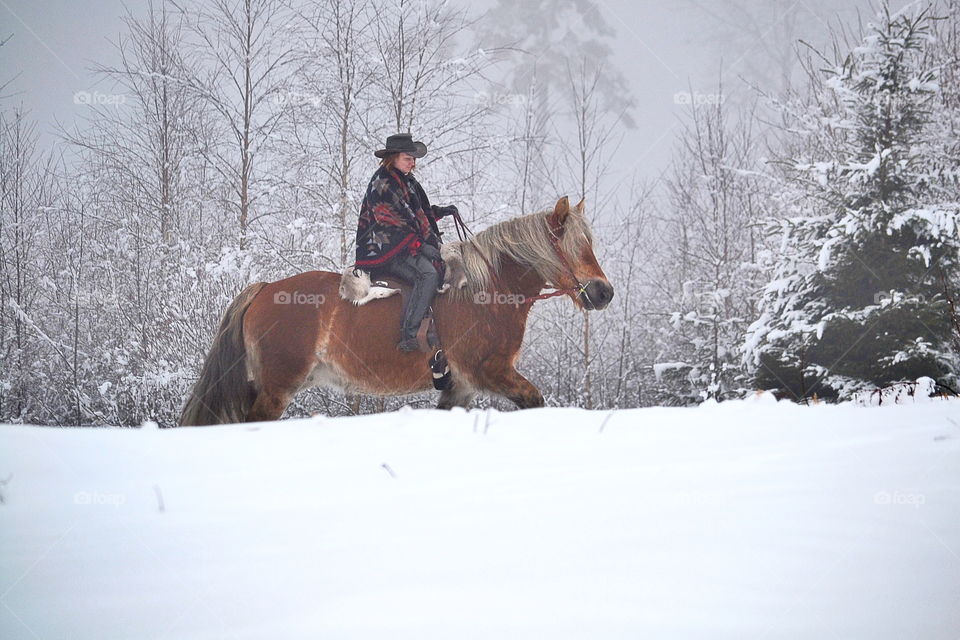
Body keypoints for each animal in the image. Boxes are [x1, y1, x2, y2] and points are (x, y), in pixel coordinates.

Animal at [179, 196, 614, 425]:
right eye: (575, 246)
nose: (603, 292)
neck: (487, 292)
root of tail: (265, 289)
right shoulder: (490, 372)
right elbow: (534, 401)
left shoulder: (461, 385)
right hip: (276, 388)